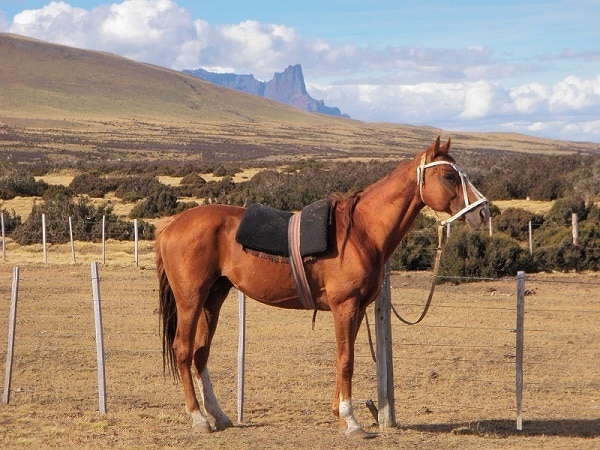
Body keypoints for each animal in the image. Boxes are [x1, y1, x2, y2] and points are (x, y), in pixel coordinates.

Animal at [157, 136, 490, 436]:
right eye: (448, 175)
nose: (483, 213)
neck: (362, 232)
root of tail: (170, 226)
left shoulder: (356, 310)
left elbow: (344, 357)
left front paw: (340, 415)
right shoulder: (345, 307)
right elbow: (346, 360)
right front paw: (351, 421)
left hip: (213, 298)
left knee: (200, 354)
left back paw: (219, 416)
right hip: (191, 300)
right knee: (183, 350)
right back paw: (198, 419)